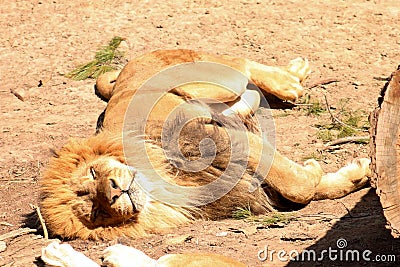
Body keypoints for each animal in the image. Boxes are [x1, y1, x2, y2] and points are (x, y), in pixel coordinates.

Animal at [39, 49, 370, 242]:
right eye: (96, 212)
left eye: (93, 173)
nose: (114, 192)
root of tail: (124, 72)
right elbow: (306, 187)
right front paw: (356, 174)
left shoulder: (220, 138)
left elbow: (296, 185)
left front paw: (320, 171)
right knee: (246, 93)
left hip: (209, 79)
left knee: (242, 65)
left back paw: (291, 79)